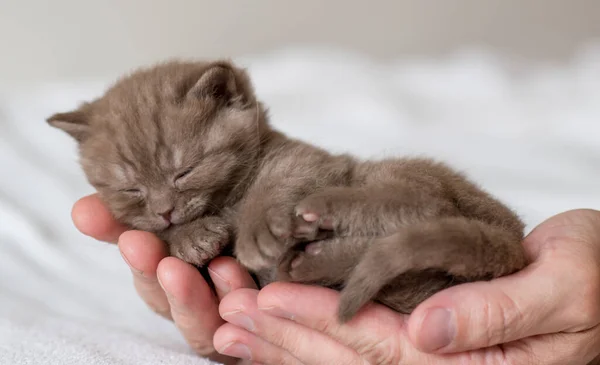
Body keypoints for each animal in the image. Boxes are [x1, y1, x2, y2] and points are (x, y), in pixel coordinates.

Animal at [47, 59, 528, 322]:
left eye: (185, 171)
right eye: (132, 189)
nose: (165, 210)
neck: (227, 201)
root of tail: (514, 234)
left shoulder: (306, 160)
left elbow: (275, 187)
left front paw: (257, 231)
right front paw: (189, 237)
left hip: (393, 177)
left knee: (421, 207)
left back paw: (322, 222)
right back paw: (310, 263)